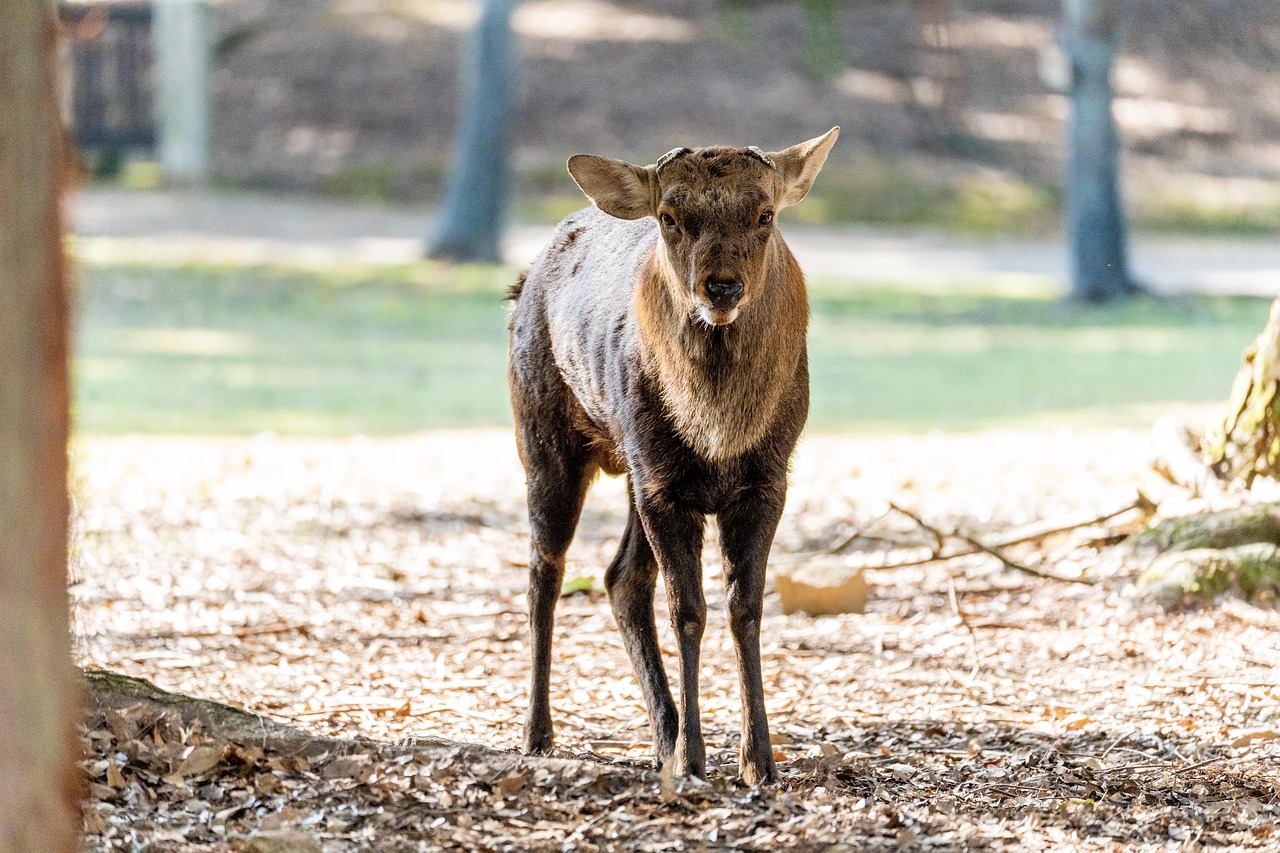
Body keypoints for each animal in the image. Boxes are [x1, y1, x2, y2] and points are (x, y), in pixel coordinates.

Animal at [507, 127, 839, 786]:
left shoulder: (767, 480)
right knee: (543, 572)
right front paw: (695, 759)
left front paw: (758, 762)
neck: (718, 431)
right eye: (669, 217)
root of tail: (522, 284)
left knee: (619, 577)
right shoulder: (664, 486)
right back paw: (538, 734)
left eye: (765, 214)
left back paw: (662, 734)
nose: (722, 286)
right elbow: (688, 610)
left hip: (632, 468)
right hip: (546, 438)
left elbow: (745, 608)